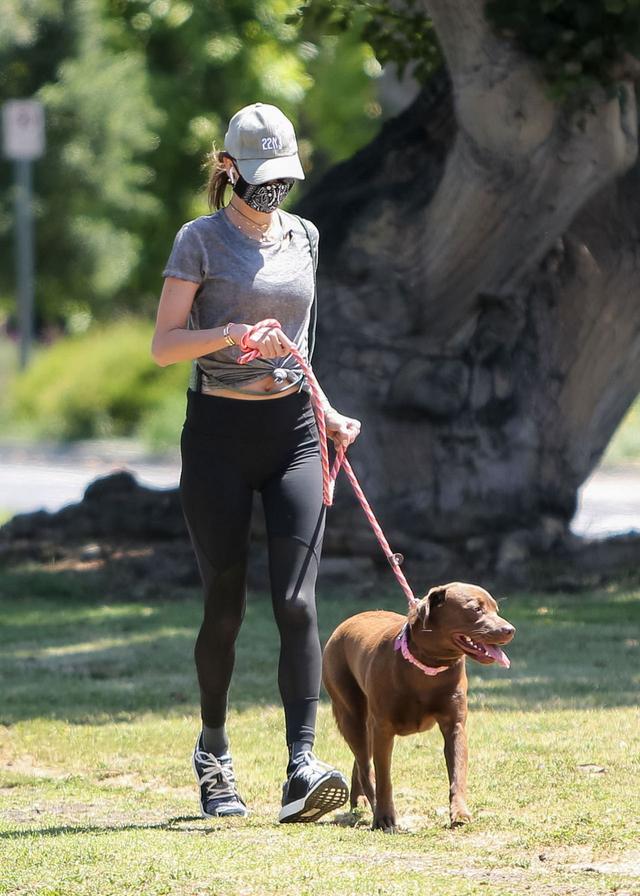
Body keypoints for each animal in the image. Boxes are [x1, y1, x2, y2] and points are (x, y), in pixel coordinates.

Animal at [320, 584, 516, 828]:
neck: (428, 666)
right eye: (476, 609)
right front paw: (384, 816)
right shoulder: (383, 728)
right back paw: (370, 803)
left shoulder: (455, 726)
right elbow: (384, 777)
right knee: (365, 763)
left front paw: (460, 813)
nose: (509, 630)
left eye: (496, 609)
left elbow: (458, 773)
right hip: (350, 713)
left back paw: (360, 800)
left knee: (362, 759)